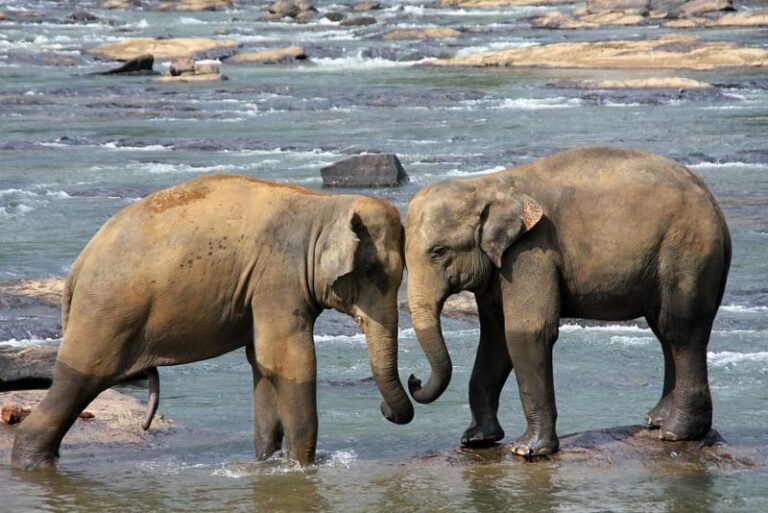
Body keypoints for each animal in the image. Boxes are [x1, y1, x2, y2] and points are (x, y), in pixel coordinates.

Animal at [12, 174, 414, 471]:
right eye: (369, 270)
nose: (387, 408)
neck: (325, 206)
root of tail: (78, 265)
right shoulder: (278, 280)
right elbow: (291, 361)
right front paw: (301, 467)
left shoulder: (262, 290)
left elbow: (262, 364)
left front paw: (267, 463)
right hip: (105, 314)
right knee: (77, 381)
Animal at [404, 146, 731, 458]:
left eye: (439, 251)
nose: (413, 379)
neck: (486, 184)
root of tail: (712, 201)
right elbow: (495, 338)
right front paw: (477, 439)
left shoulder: (532, 251)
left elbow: (525, 332)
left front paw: (527, 450)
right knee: (663, 330)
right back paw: (656, 421)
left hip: (687, 250)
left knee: (680, 329)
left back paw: (677, 433)